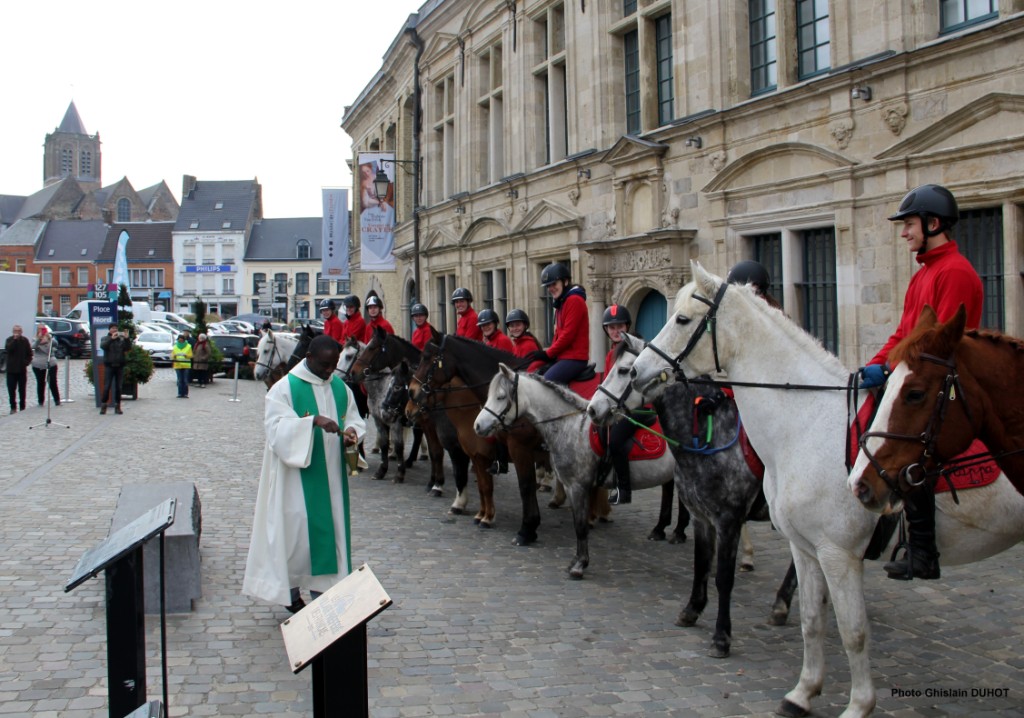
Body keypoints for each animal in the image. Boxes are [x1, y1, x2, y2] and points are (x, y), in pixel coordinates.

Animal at [585, 331, 798, 655]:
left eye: (625, 371)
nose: (593, 409)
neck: (709, 437)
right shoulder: (702, 517)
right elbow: (700, 565)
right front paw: (692, 609)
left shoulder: (728, 520)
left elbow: (724, 578)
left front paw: (722, 636)